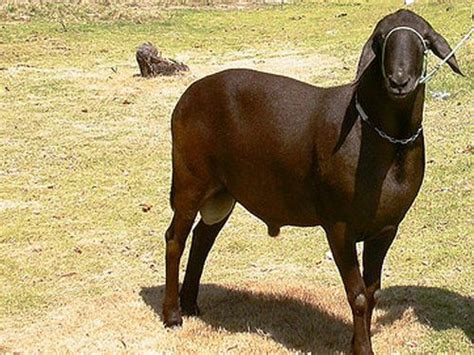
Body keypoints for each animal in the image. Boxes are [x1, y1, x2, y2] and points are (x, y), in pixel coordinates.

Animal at [163, 9, 462, 354]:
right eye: (379, 39)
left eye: (424, 40)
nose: (399, 81)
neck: (383, 140)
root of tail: (186, 97)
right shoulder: (339, 225)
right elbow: (358, 295)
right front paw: (362, 348)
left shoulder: (386, 228)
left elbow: (372, 293)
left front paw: (358, 341)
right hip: (190, 178)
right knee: (175, 238)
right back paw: (172, 314)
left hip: (223, 191)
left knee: (202, 237)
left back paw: (190, 304)